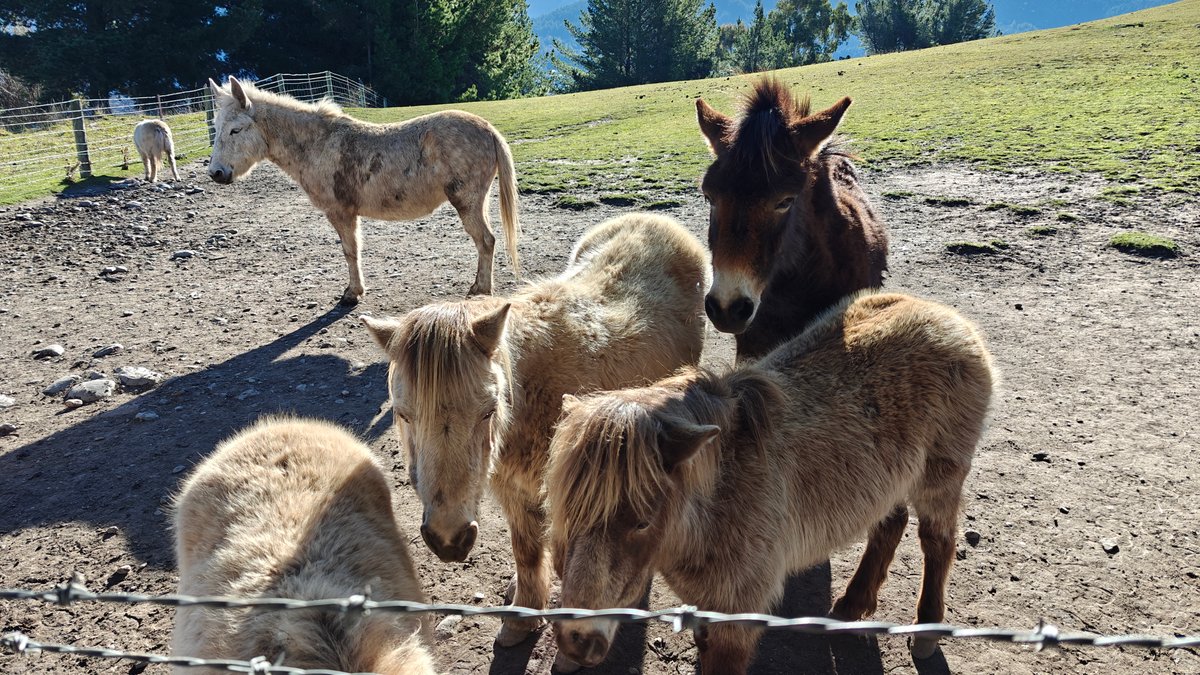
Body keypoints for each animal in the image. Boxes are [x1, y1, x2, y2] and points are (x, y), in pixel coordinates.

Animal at [206, 76, 519, 304]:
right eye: (216, 127)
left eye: (235, 130)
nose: (216, 173)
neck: (317, 145)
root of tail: (488, 129)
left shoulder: (340, 212)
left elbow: (350, 250)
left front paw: (352, 293)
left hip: (466, 202)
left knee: (486, 241)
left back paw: (481, 291)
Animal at [361, 212, 708, 647]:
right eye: (404, 415)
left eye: (488, 411)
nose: (448, 540)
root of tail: (654, 219)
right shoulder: (512, 490)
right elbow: (525, 550)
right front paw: (523, 613)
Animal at [547, 291, 996, 673]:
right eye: (566, 516)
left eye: (641, 521)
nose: (575, 641)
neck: (719, 501)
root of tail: (949, 319)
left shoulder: (735, 617)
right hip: (889, 480)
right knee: (889, 525)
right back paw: (851, 606)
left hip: (939, 479)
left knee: (937, 542)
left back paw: (926, 633)